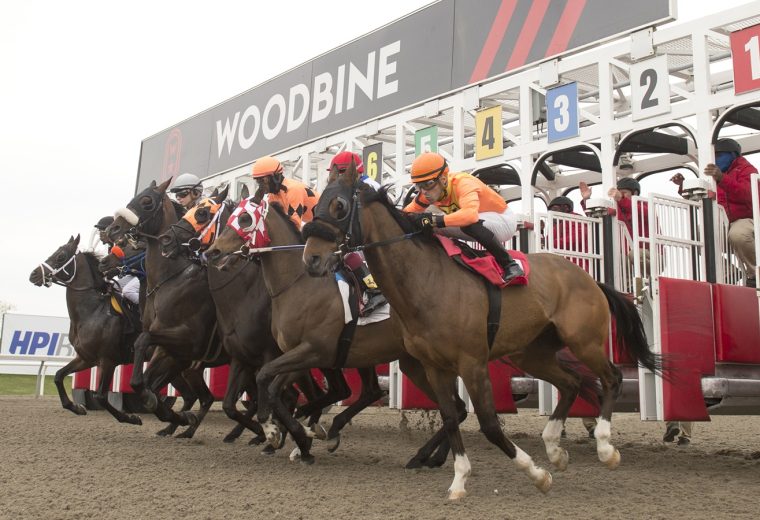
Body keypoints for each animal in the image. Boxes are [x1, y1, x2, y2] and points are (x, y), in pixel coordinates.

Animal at [28, 236, 142, 426]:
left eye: (61, 256)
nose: (33, 274)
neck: (91, 311)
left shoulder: (108, 360)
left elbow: (101, 396)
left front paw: (130, 417)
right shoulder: (86, 358)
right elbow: (58, 376)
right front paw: (76, 407)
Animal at [300, 162, 664, 500]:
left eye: (339, 206)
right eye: (315, 206)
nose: (311, 260)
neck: (426, 281)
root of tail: (588, 277)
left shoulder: (472, 363)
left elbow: (488, 423)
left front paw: (535, 474)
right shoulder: (434, 367)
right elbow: (450, 416)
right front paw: (459, 480)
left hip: (584, 340)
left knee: (611, 378)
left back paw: (604, 447)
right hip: (532, 353)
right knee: (572, 383)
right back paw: (554, 448)